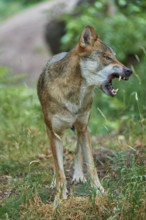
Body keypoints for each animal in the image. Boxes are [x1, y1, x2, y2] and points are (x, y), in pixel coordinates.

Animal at [37, 25, 132, 205]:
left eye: (115, 57)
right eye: (107, 57)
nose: (129, 70)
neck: (73, 94)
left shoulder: (83, 127)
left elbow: (91, 165)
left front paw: (100, 191)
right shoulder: (54, 133)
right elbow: (59, 170)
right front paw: (59, 199)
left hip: (82, 128)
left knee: (78, 150)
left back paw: (78, 175)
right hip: (52, 131)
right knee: (57, 163)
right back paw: (55, 181)